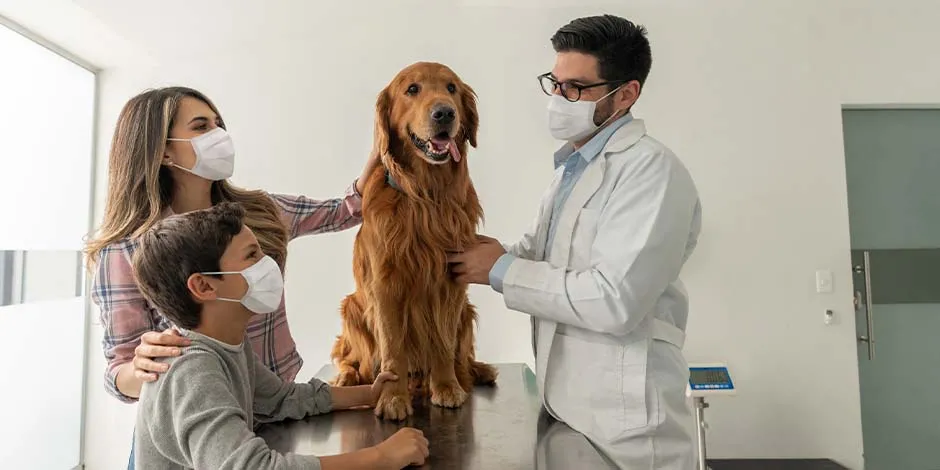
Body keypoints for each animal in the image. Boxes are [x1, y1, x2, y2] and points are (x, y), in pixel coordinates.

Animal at [332, 61, 500, 418]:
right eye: (412, 89)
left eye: (451, 88)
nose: (445, 113)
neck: (425, 197)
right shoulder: (385, 285)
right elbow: (393, 348)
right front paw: (393, 398)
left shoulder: (450, 281)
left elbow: (443, 342)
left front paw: (447, 387)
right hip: (352, 307)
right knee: (349, 357)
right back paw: (346, 377)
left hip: (467, 311)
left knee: (462, 356)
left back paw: (476, 371)